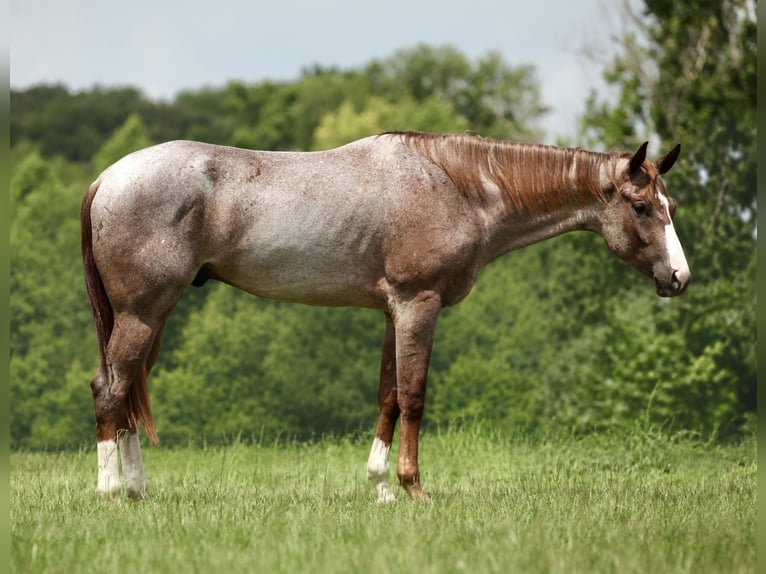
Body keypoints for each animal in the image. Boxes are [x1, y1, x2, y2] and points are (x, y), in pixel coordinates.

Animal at [81, 131, 690, 502]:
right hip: (142, 313)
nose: (679, 277)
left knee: (126, 390)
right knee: (110, 389)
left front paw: (379, 489)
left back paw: (137, 490)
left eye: (671, 207)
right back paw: (110, 493)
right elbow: (414, 396)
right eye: (641, 206)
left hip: (153, 318)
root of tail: (106, 178)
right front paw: (414, 488)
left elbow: (389, 396)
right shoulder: (419, 303)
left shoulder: (393, 311)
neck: (455, 185)